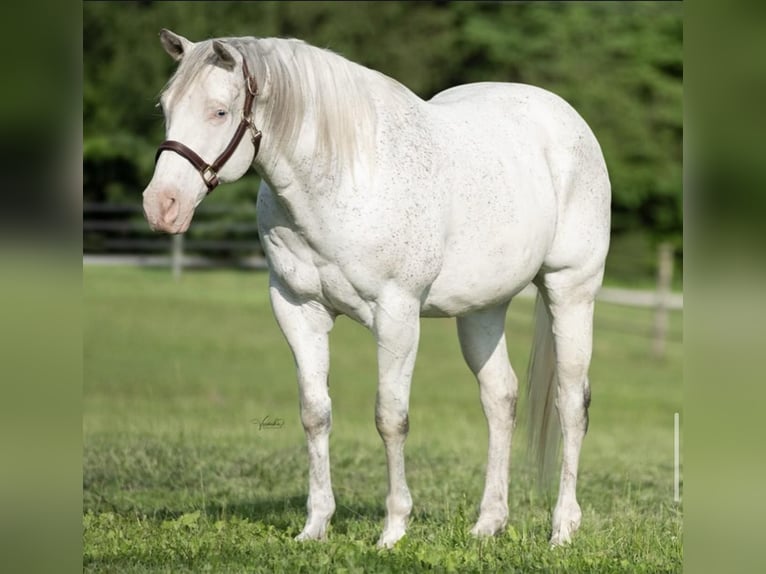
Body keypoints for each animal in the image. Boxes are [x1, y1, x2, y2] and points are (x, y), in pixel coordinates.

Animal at [142, 29, 611, 548]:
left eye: (220, 112)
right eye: (165, 106)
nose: (161, 205)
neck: (340, 178)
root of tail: (566, 118)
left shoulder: (396, 314)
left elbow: (391, 418)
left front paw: (393, 529)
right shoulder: (297, 309)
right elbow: (315, 413)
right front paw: (315, 526)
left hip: (570, 289)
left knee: (571, 402)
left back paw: (563, 528)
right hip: (482, 310)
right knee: (500, 398)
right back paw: (488, 523)